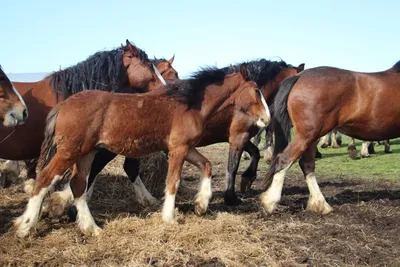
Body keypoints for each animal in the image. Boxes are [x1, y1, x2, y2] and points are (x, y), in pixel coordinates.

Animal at [14, 65, 272, 239]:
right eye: (256, 90)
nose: (267, 119)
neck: (189, 105)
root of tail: (63, 105)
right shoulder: (178, 150)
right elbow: (172, 182)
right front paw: (169, 218)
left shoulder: (185, 148)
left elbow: (206, 165)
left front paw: (201, 204)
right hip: (69, 152)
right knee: (44, 179)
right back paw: (26, 226)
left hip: (86, 153)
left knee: (78, 185)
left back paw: (91, 228)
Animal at [260, 60, 400, 216]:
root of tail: (299, 77)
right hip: (307, 135)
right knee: (284, 159)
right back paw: (270, 202)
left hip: (311, 137)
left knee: (307, 164)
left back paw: (320, 204)